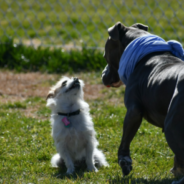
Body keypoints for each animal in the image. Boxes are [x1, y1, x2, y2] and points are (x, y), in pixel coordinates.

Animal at [102, 21, 184, 184]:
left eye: (104, 54)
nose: (103, 73)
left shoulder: (133, 111)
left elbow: (125, 140)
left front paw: (124, 162)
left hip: (171, 127)